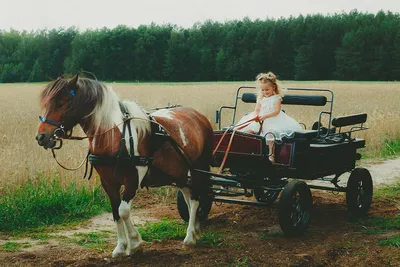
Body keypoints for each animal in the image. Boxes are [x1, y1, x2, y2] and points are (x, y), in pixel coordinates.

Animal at [36, 75, 214, 258]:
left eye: (61, 103)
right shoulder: (107, 181)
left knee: (196, 199)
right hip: (179, 172)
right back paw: (195, 230)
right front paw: (121, 247)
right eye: (47, 103)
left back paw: (190, 237)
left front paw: (135, 243)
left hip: (198, 167)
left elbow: (123, 210)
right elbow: (115, 212)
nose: (41, 137)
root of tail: (198, 116)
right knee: (188, 195)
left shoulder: (133, 179)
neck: (113, 137)